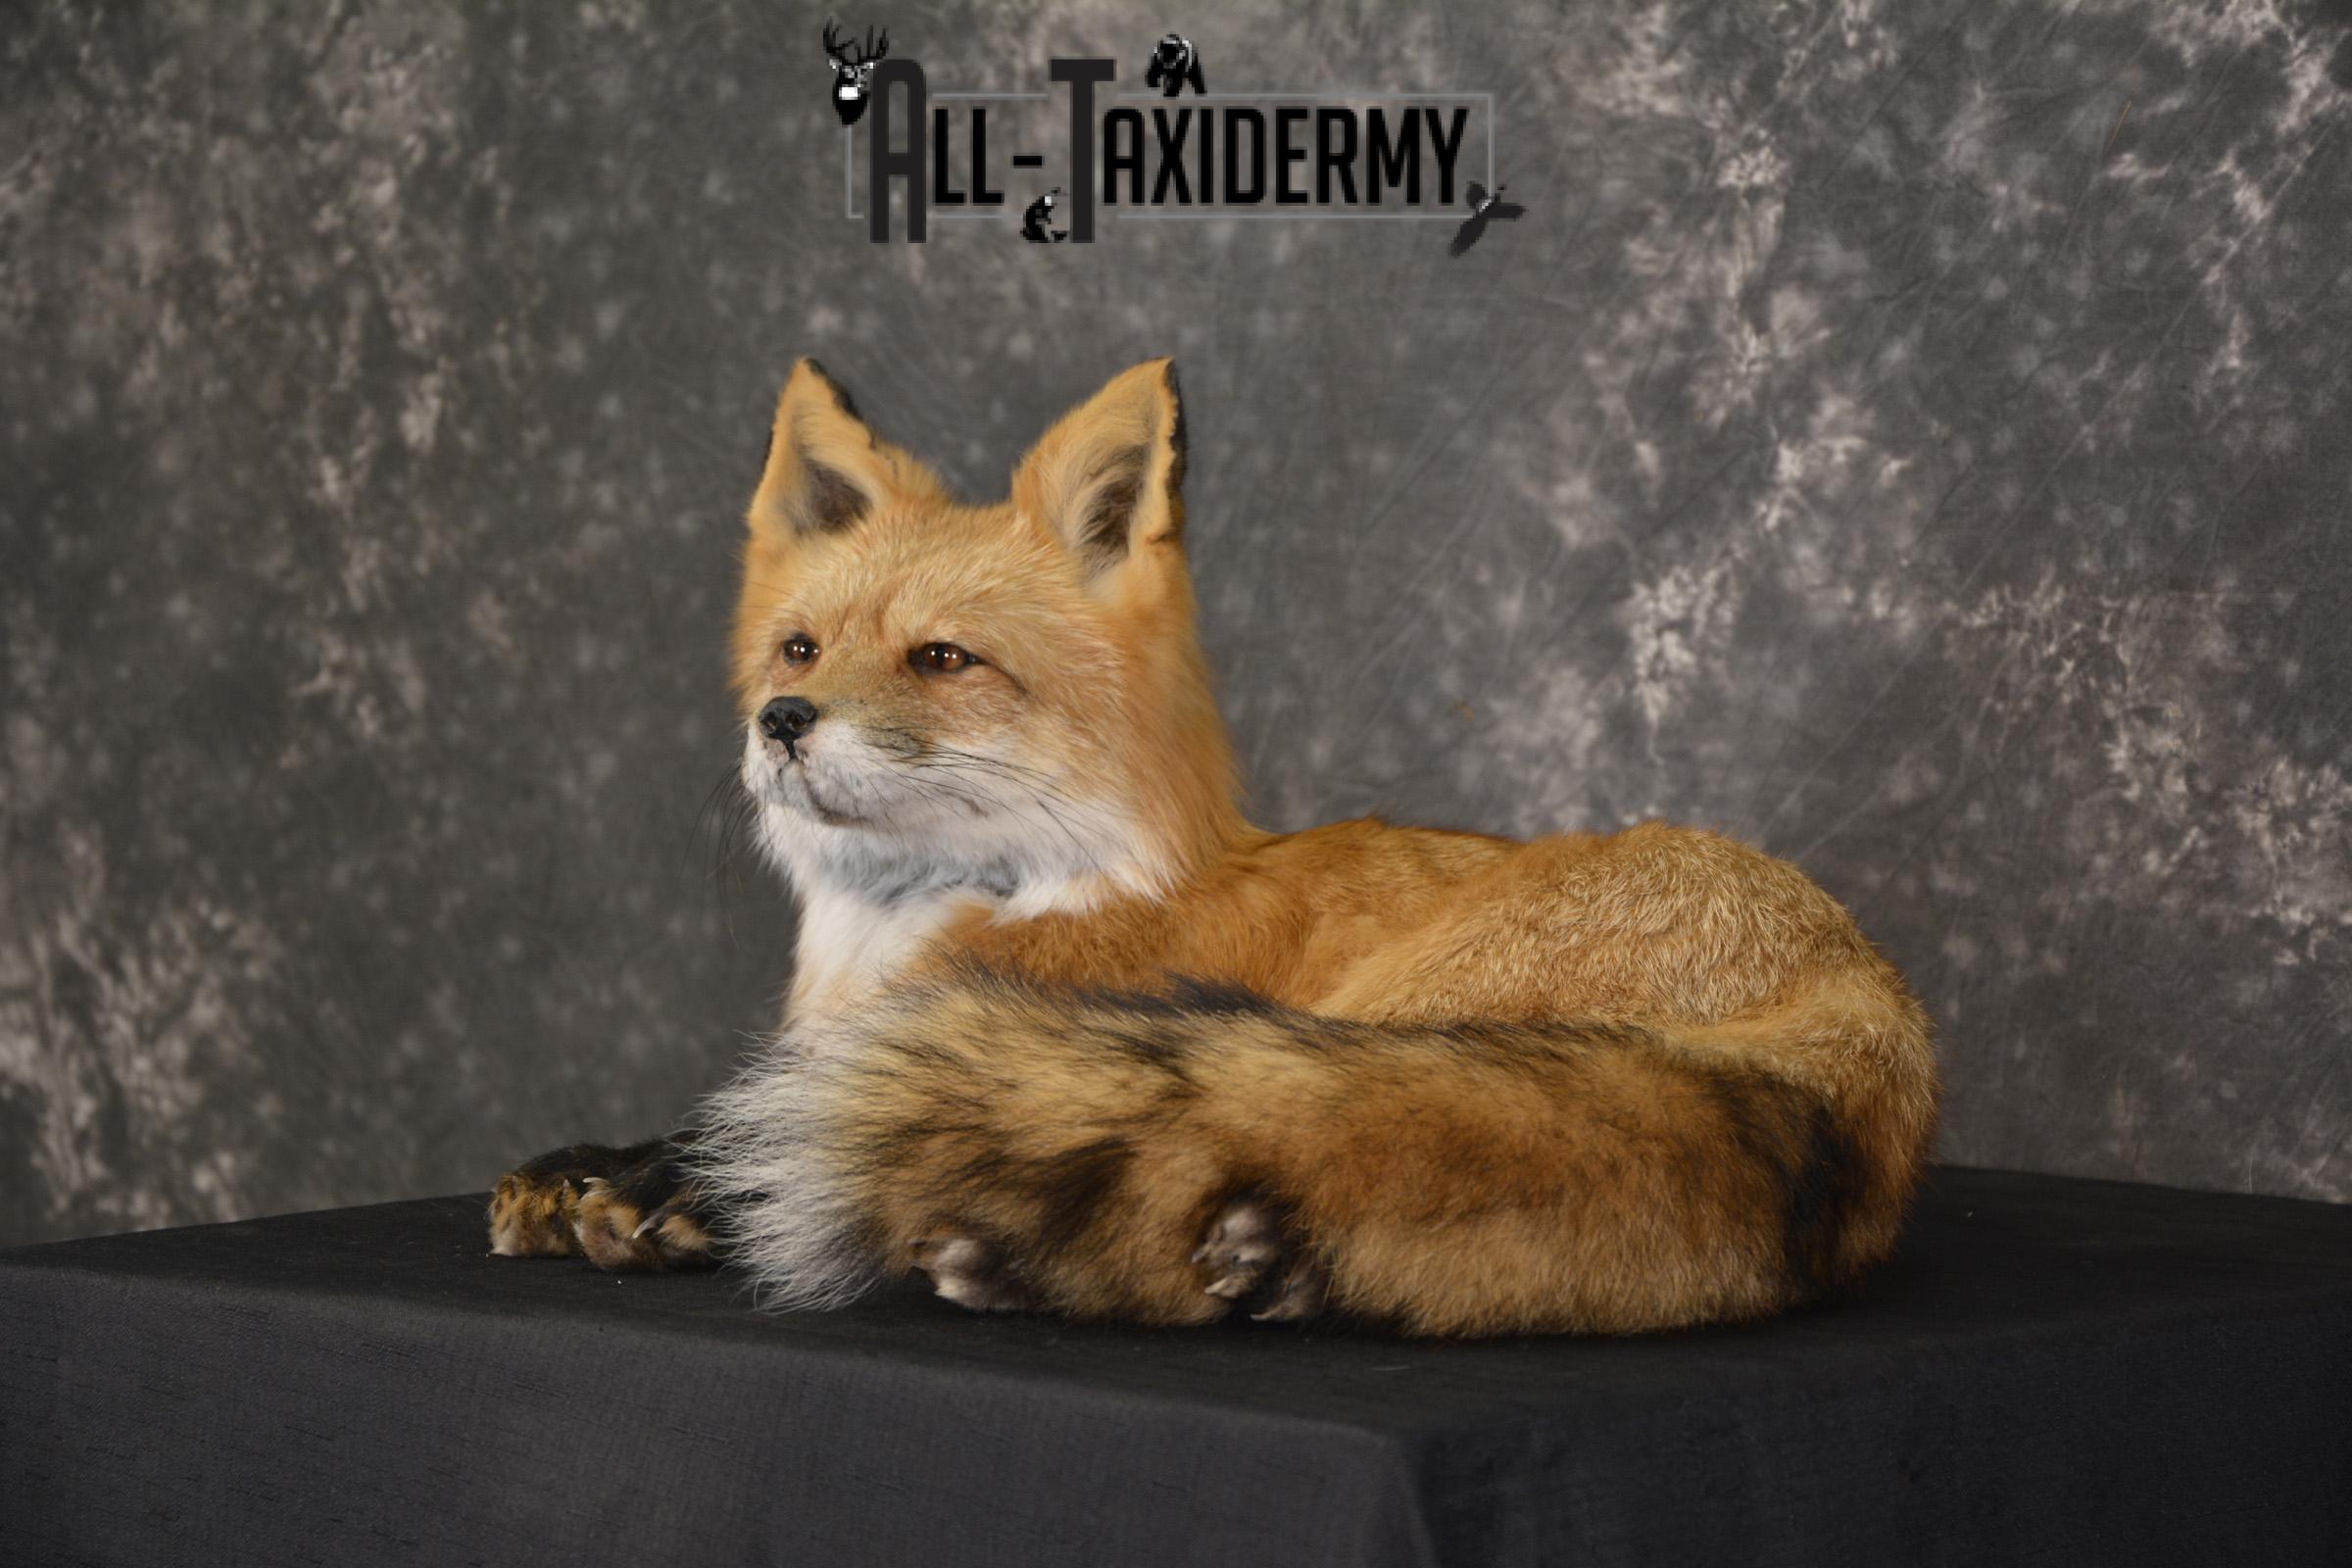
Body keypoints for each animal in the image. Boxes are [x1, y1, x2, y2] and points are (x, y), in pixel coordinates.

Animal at [487, 358, 1940, 1337]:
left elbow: (722, 1136)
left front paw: (662, 1195)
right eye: (798, 648)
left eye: (942, 660)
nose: (781, 723)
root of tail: (1868, 1006)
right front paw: (580, 1177)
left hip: (1372, 1023)